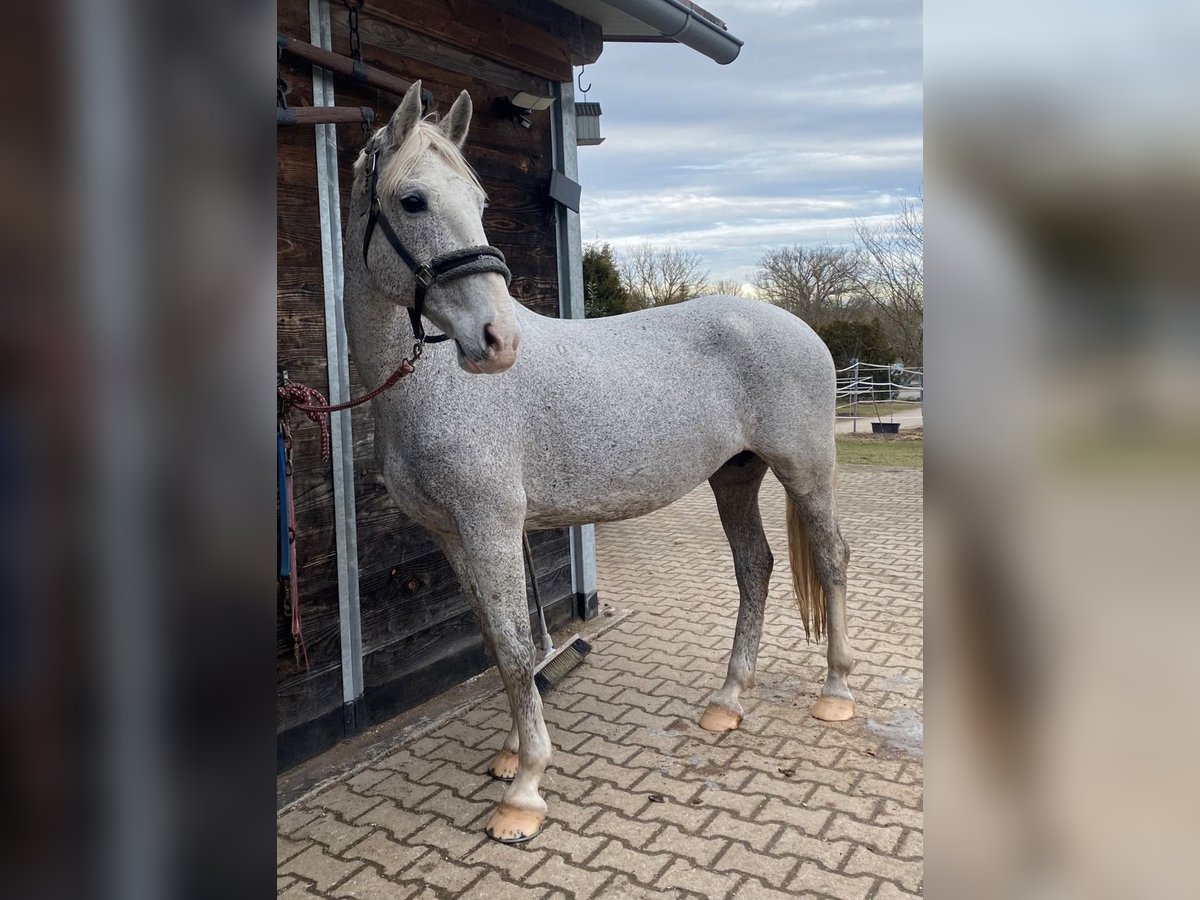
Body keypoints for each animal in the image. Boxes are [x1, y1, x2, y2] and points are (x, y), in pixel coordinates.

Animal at [340, 84, 854, 844]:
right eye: (413, 201)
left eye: (479, 200)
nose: (498, 341)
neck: (432, 385)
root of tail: (796, 326)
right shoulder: (452, 534)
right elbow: (496, 640)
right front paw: (510, 751)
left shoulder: (492, 525)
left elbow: (517, 646)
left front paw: (525, 789)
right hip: (735, 474)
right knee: (754, 566)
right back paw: (729, 698)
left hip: (806, 470)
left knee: (831, 558)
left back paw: (837, 691)